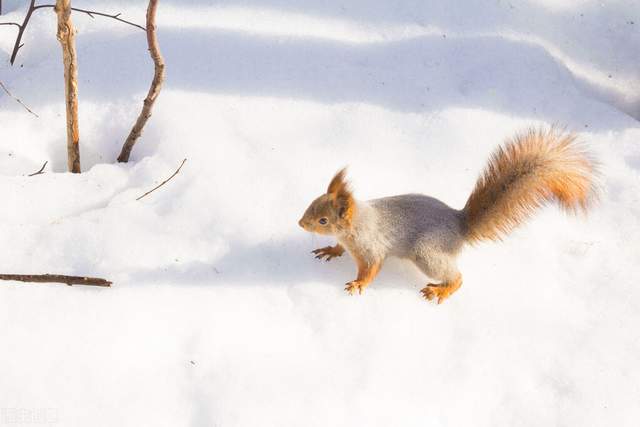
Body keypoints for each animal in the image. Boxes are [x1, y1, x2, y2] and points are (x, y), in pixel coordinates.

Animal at [298, 128, 596, 304]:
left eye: (323, 220)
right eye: (312, 203)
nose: (301, 223)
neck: (356, 225)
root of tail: (460, 224)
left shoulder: (372, 247)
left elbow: (371, 269)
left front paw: (358, 284)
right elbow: (339, 248)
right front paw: (330, 250)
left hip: (427, 253)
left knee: (458, 277)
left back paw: (441, 289)